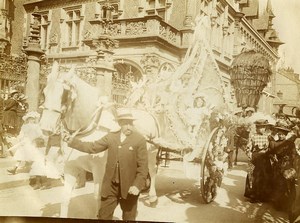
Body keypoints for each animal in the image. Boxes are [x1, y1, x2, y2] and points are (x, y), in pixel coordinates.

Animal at [39, 61, 161, 219]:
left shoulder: (99, 169)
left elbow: (98, 196)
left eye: (64, 93)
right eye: (44, 92)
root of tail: (148, 113)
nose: (45, 127)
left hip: (151, 153)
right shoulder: (70, 167)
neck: (87, 129)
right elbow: (65, 197)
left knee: (152, 170)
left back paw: (152, 197)